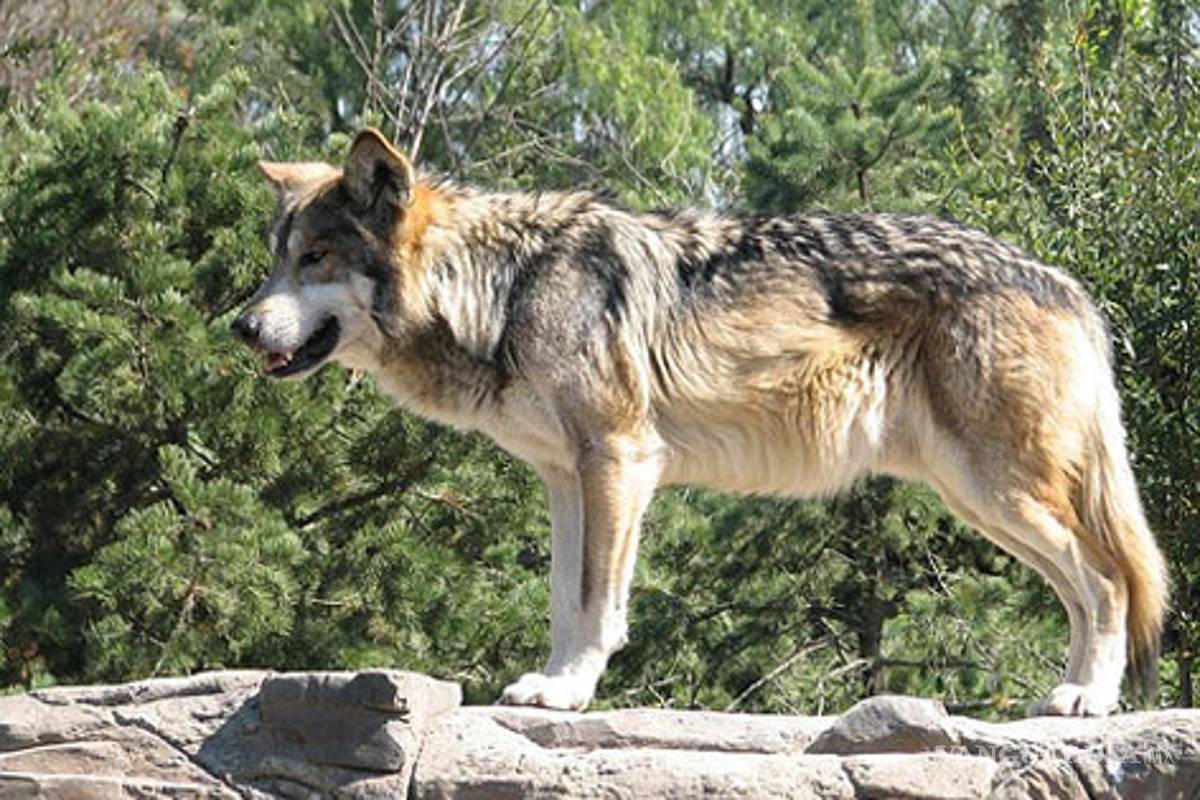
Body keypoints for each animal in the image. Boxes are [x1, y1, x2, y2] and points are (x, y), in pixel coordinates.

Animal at [232, 128, 1168, 716]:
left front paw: (569, 693)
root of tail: (1064, 281)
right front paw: (547, 684)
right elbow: (563, 602)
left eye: (316, 258)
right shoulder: (566, 477)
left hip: (996, 489)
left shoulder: (618, 460)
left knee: (1111, 582)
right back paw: (1068, 697)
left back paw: (1086, 701)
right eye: (275, 261)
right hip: (980, 499)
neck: (504, 287)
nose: (239, 327)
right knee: (1091, 589)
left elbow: (596, 603)